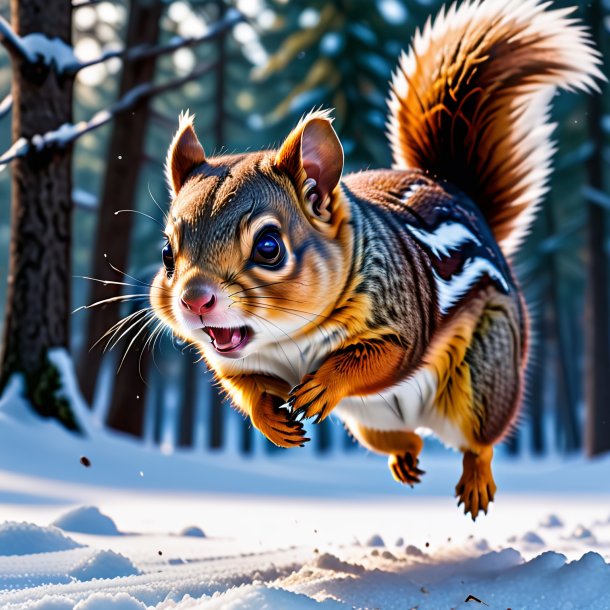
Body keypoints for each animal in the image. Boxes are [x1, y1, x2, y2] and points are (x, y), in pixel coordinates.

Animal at [150, 0, 600, 516]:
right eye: (167, 252)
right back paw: (406, 459)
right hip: (370, 425)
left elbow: (380, 356)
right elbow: (244, 387)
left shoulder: (403, 315)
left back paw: (475, 481)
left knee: (480, 441)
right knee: (407, 440)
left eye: (268, 247)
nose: (194, 301)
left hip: (487, 375)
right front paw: (271, 420)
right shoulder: (236, 362)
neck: (287, 340)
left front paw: (324, 383)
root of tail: (457, 193)